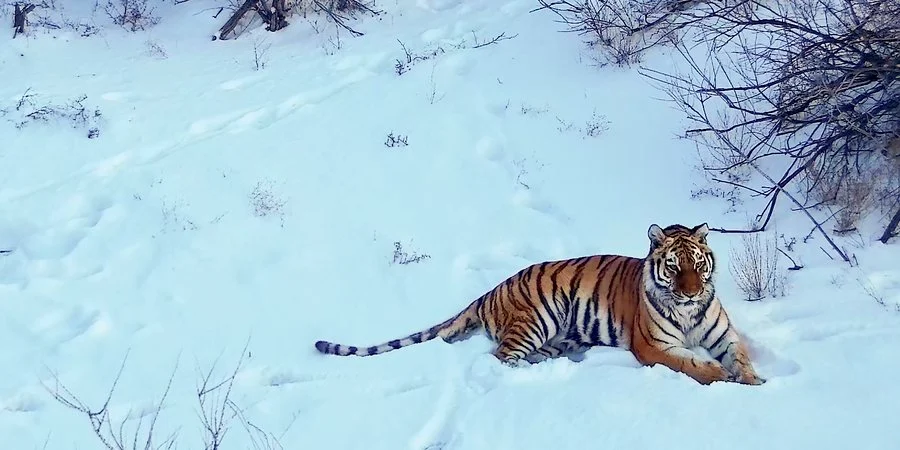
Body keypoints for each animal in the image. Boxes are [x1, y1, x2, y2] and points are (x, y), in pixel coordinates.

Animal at [314, 223, 765, 385]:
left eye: (698, 264)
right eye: (673, 267)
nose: (691, 292)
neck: (688, 311)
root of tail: (490, 291)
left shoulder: (725, 335)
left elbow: (740, 355)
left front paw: (752, 379)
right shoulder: (652, 346)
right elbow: (689, 364)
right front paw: (720, 376)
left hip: (563, 335)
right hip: (538, 318)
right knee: (500, 358)